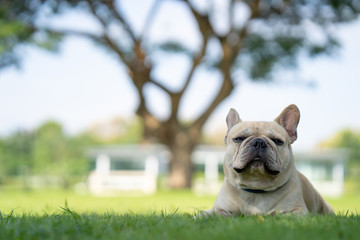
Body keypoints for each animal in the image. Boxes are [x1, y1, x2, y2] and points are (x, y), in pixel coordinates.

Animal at [201, 104, 334, 217]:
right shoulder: (220, 209)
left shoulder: (297, 210)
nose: (259, 142)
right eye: (239, 139)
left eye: (277, 141)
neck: (256, 188)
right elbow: (207, 214)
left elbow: (280, 214)